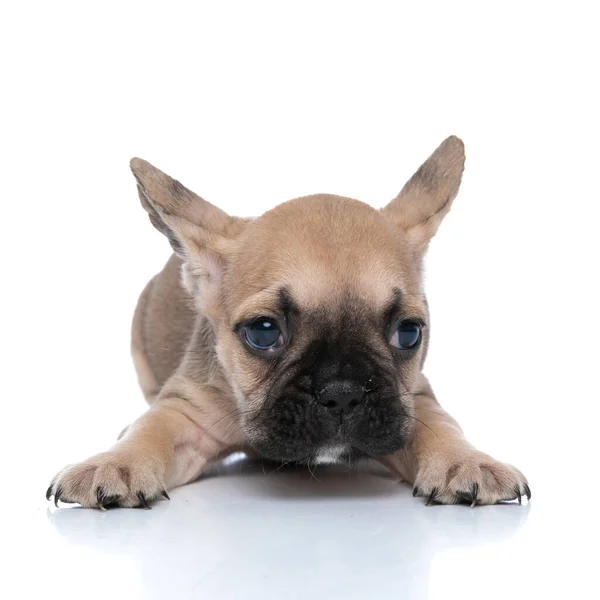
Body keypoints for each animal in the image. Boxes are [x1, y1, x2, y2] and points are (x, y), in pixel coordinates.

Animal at [49, 138, 532, 508]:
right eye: (263, 332)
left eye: (409, 333)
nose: (343, 392)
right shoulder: (185, 410)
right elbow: (152, 430)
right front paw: (113, 462)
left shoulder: (413, 400)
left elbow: (442, 426)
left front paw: (467, 460)